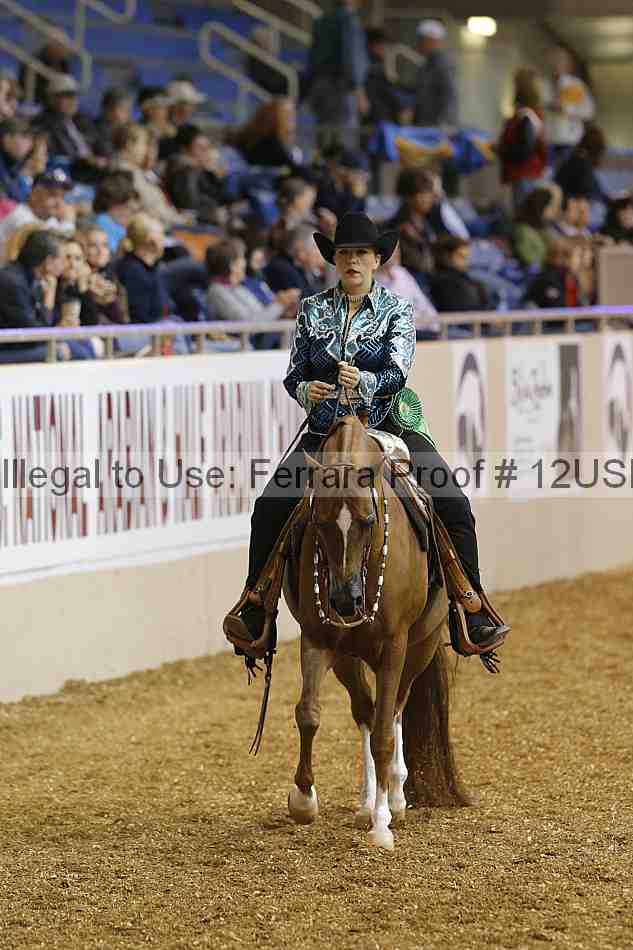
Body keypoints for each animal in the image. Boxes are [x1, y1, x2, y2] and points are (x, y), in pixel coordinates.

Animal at [283, 414, 471, 850]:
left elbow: (386, 730)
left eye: (368, 521)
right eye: (319, 522)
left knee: (394, 711)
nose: (344, 601)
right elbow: (309, 714)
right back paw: (367, 802)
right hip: (349, 658)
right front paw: (303, 800)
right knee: (366, 714)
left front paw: (383, 825)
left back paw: (395, 799)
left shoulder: (395, 646)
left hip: (420, 647)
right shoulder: (317, 639)